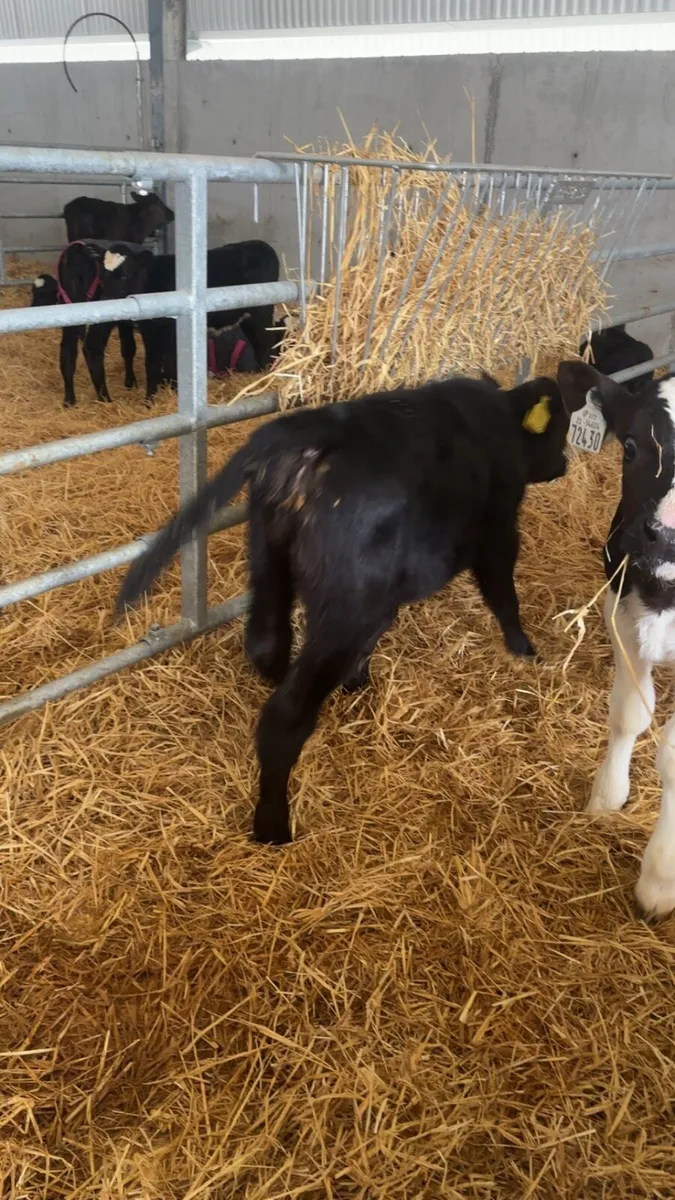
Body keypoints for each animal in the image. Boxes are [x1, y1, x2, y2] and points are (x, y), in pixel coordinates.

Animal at [115, 372, 585, 846]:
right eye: (562, 428)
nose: (564, 464)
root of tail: (300, 433)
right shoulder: (498, 531)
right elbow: (504, 594)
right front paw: (524, 648)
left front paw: (357, 680)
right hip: (346, 606)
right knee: (285, 714)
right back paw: (273, 827)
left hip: (272, 565)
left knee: (267, 645)